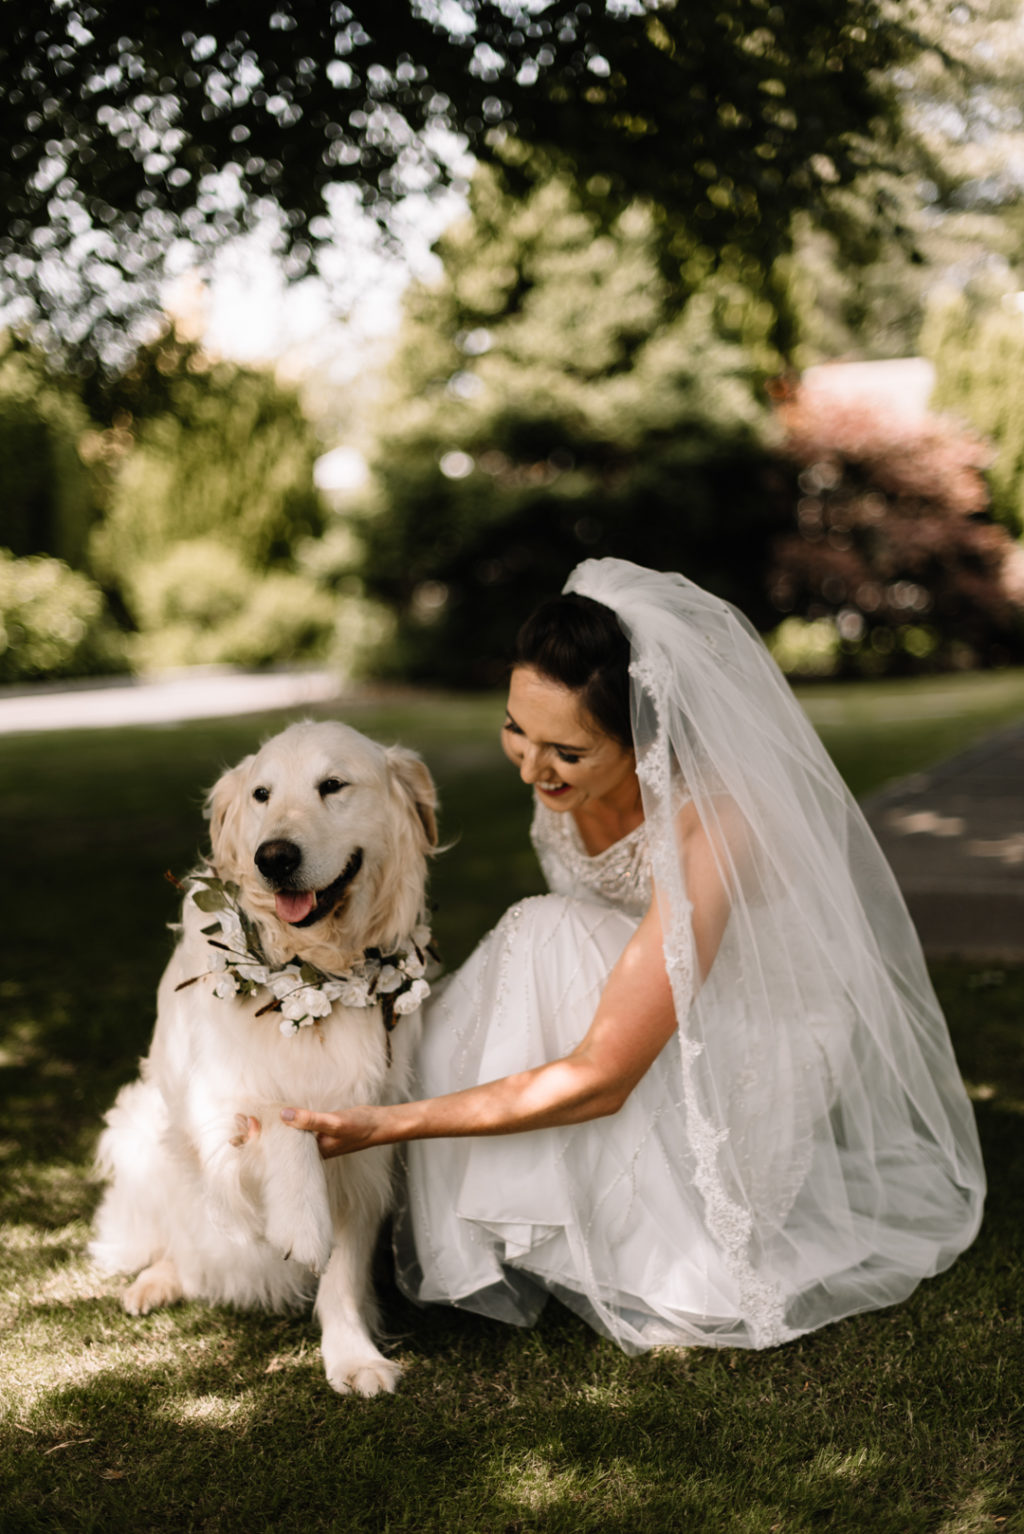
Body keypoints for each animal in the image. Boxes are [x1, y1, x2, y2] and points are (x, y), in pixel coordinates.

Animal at [90, 724, 438, 1399]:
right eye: (261, 794)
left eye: (333, 785)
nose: (273, 857)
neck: (313, 968)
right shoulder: (214, 1111)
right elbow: (280, 1112)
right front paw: (302, 1223)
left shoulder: (368, 1145)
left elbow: (342, 1273)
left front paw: (352, 1356)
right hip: (140, 1131)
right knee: (173, 1238)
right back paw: (155, 1282)